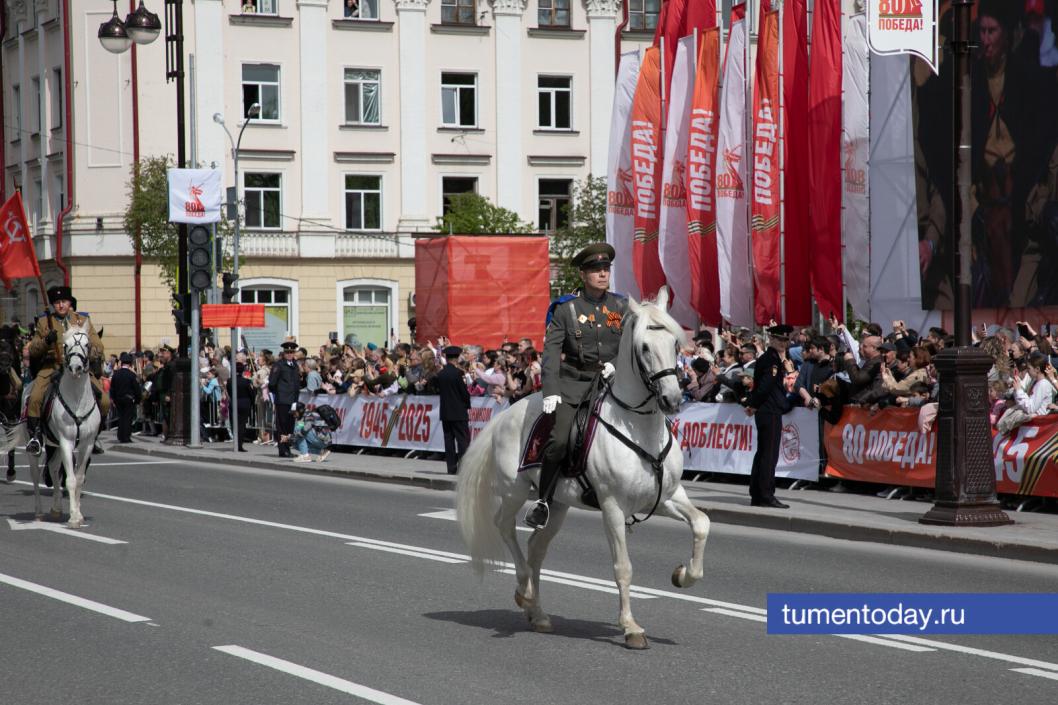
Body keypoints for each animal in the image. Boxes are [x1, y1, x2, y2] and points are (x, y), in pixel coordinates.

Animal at [455, 287, 711, 650]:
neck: (639, 428)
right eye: (644, 347)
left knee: (536, 547)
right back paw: (524, 591)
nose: (673, 400)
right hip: (514, 491)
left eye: (676, 343)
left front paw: (683, 574)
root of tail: (506, 413)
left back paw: (538, 613)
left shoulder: (666, 497)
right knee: (505, 528)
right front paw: (631, 627)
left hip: (558, 505)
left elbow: (701, 523)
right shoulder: (613, 506)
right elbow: (622, 567)